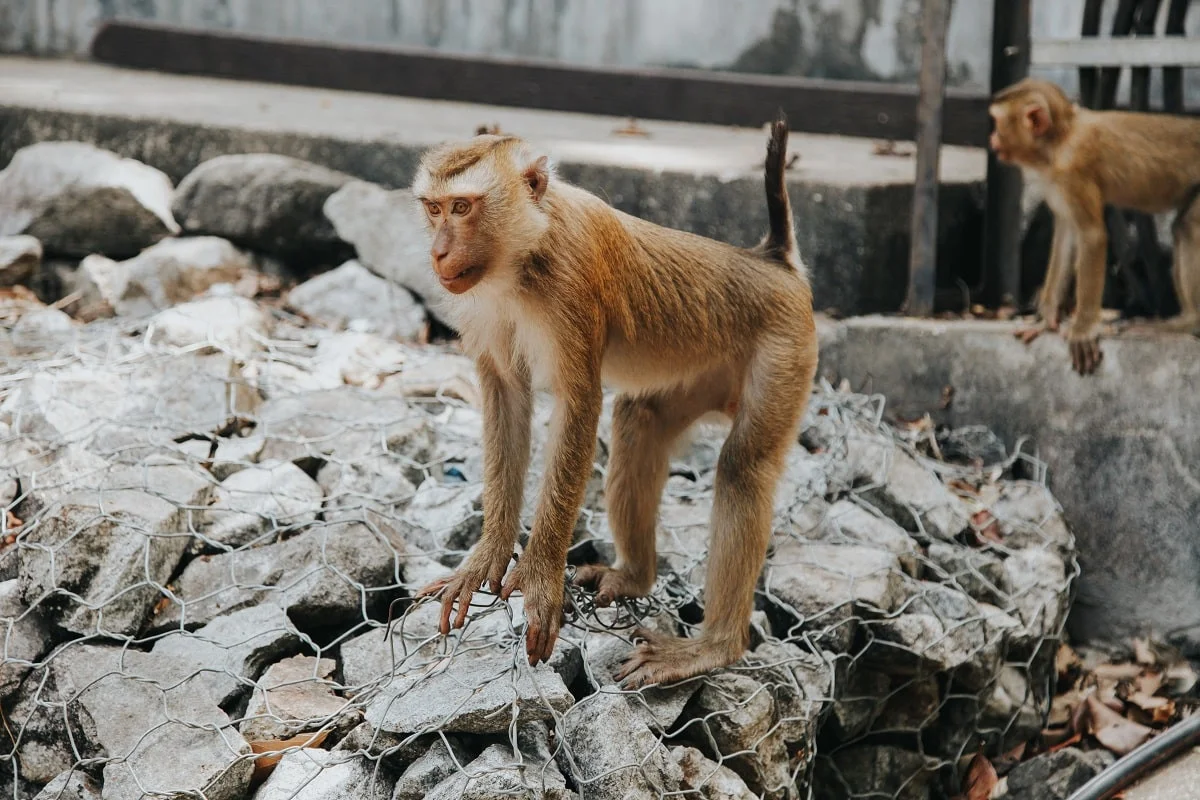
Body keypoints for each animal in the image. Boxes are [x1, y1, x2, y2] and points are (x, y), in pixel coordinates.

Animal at [410, 115, 816, 686]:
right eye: (434, 208)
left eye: (463, 208)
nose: (439, 252)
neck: (525, 253)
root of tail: (775, 263)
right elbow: (507, 396)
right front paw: (487, 556)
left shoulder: (572, 281)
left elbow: (579, 405)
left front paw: (540, 578)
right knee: (639, 420)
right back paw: (635, 578)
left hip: (785, 350)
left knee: (743, 467)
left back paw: (714, 647)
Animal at [988, 76, 1200, 374]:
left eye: (997, 122)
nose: (992, 138)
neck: (1059, 141)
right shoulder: (1056, 180)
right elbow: (1067, 233)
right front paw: (1046, 319)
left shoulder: (1073, 172)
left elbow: (1092, 236)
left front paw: (1083, 329)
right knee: (1183, 225)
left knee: (1190, 226)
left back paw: (1189, 321)